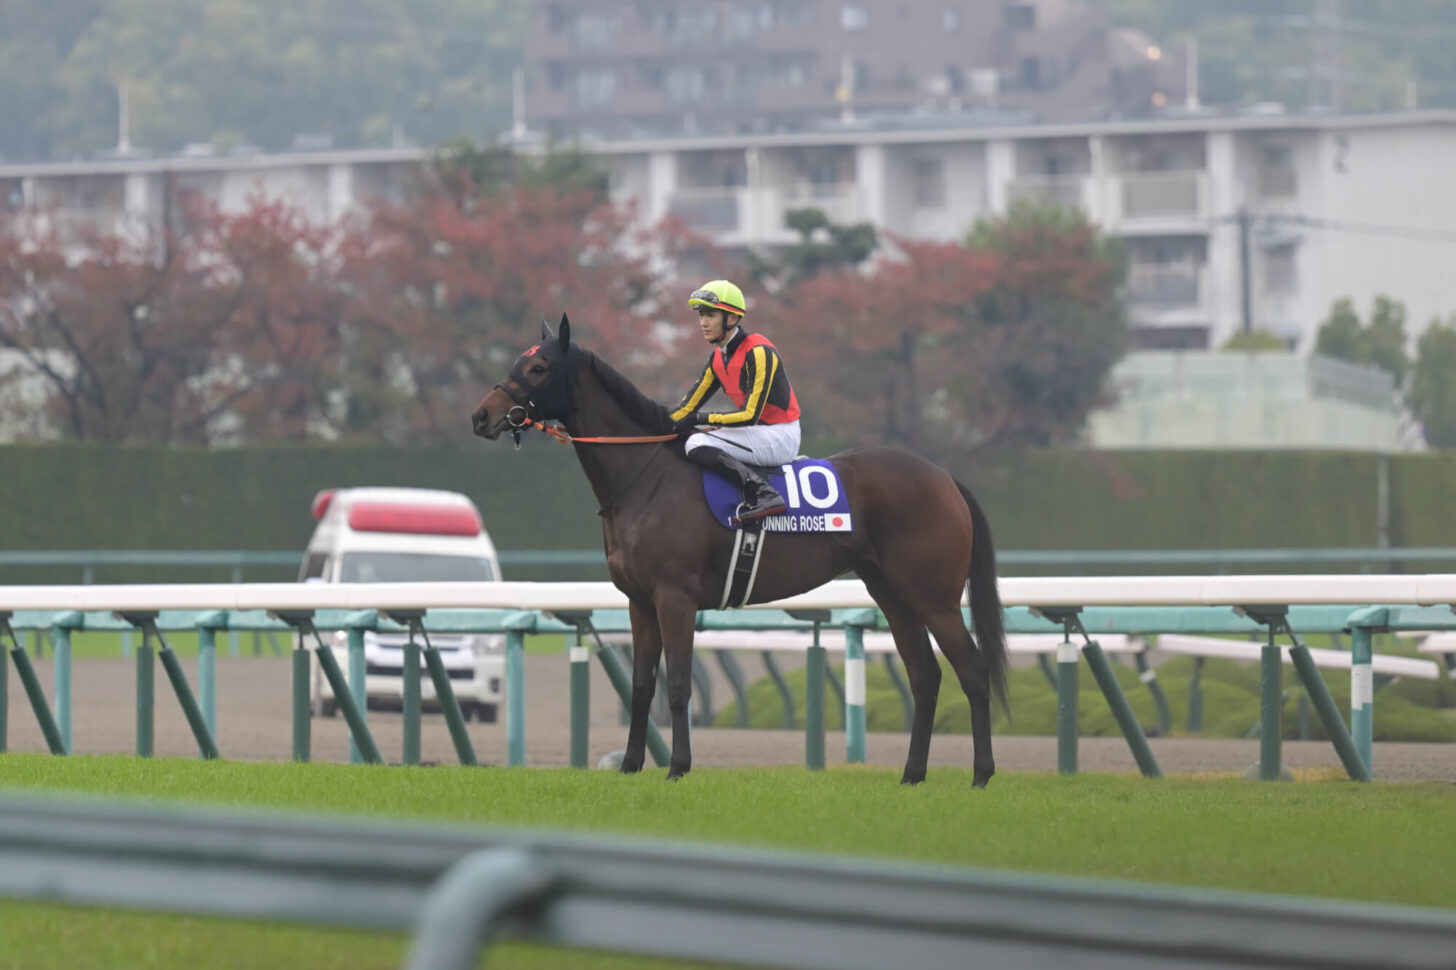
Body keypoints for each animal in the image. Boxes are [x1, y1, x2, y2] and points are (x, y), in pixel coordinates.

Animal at [471, 317, 1007, 786]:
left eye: (538, 367)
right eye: (520, 360)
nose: (481, 416)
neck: (646, 477)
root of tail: (943, 476)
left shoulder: (675, 598)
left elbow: (678, 684)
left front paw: (678, 767)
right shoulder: (639, 602)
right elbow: (642, 685)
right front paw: (629, 765)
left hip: (934, 597)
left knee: (972, 671)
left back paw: (981, 774)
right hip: (892, 595)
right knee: (925, 677)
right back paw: (912, 774)